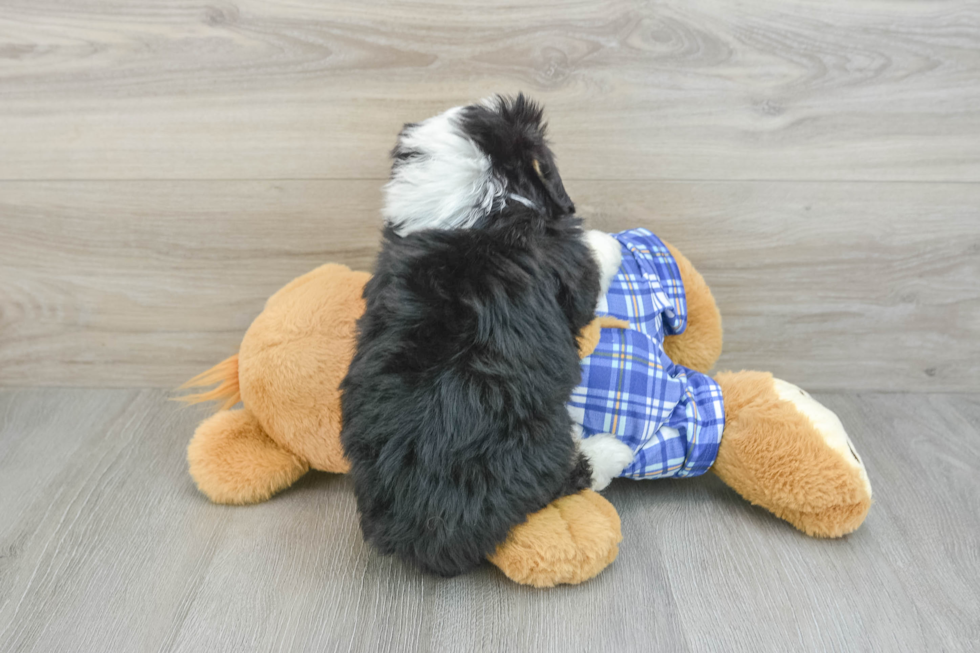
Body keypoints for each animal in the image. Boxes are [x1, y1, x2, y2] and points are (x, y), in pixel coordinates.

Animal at [340, 93, 624, 576]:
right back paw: (611, 451)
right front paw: (611, 243)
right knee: (559, 480)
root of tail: (422, 525)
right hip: (541, 440)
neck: (480, 205)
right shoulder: (568, 269)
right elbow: (590, 265)